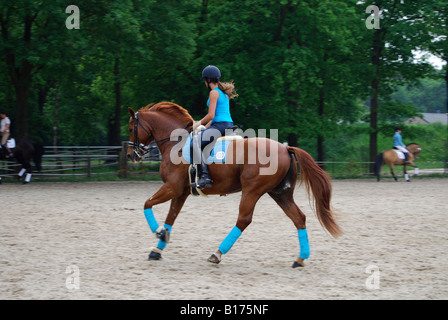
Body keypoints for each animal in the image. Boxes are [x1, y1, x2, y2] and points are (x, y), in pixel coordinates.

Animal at [125, 102, 340, 268]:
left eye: (130, 128)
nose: (130, 155)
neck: (175, 143)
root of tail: (285, 148)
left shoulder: (172, 187)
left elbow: (147, 204)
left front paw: (159, 232)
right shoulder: (181, 192)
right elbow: (171, 217)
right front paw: (157, 249)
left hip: (252, 190)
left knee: (243, 220)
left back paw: (217, 254)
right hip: (280, 194)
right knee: (299, 218)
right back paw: (300, 259)